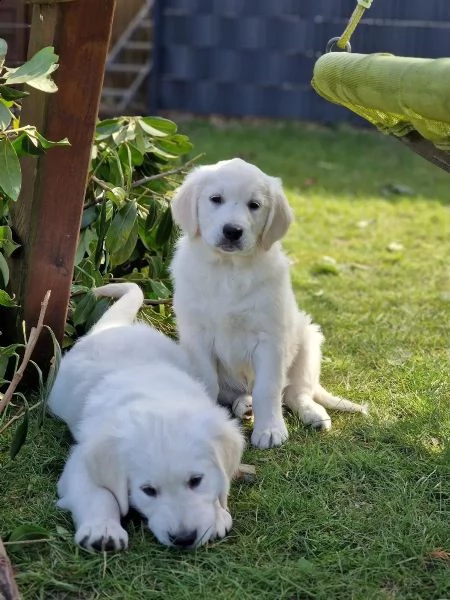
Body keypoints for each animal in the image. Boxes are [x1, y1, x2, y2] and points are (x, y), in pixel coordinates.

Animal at [47, 284, 244, 552]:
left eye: (196, 480)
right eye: (148, 491)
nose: (184, 538)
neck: (155, 399)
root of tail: (110, 328)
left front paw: (218, 513)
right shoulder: (80, 461)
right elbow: (99, 493)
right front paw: (102, 528)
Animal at [171, 159, 368, 450]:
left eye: (254, 205)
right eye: (215, 199)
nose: (232, 231)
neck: (229, 269)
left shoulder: (270, 338)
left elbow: (268, 388)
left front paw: (271, 430)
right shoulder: (197, 337)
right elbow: (207, 382)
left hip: (308, 341)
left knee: (297, 393)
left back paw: (313, 414)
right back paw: (244, 406)